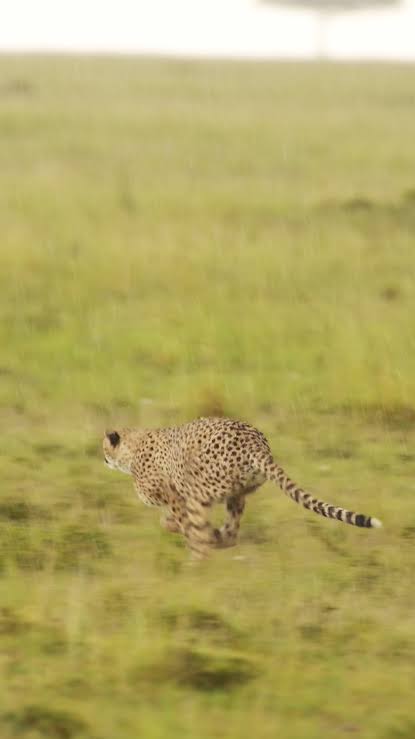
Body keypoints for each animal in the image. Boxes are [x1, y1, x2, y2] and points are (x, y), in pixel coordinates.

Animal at [103, 416, 382, 558]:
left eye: (104, 448)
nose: (103, 459)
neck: (132, 449)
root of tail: (254, 441)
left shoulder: (174, 495)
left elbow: (179, 523)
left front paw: (178, 529)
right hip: (237, 493)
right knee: (231, 533)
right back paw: (218, 538)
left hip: (199, 491)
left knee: (204, 536)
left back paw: (197, 565)